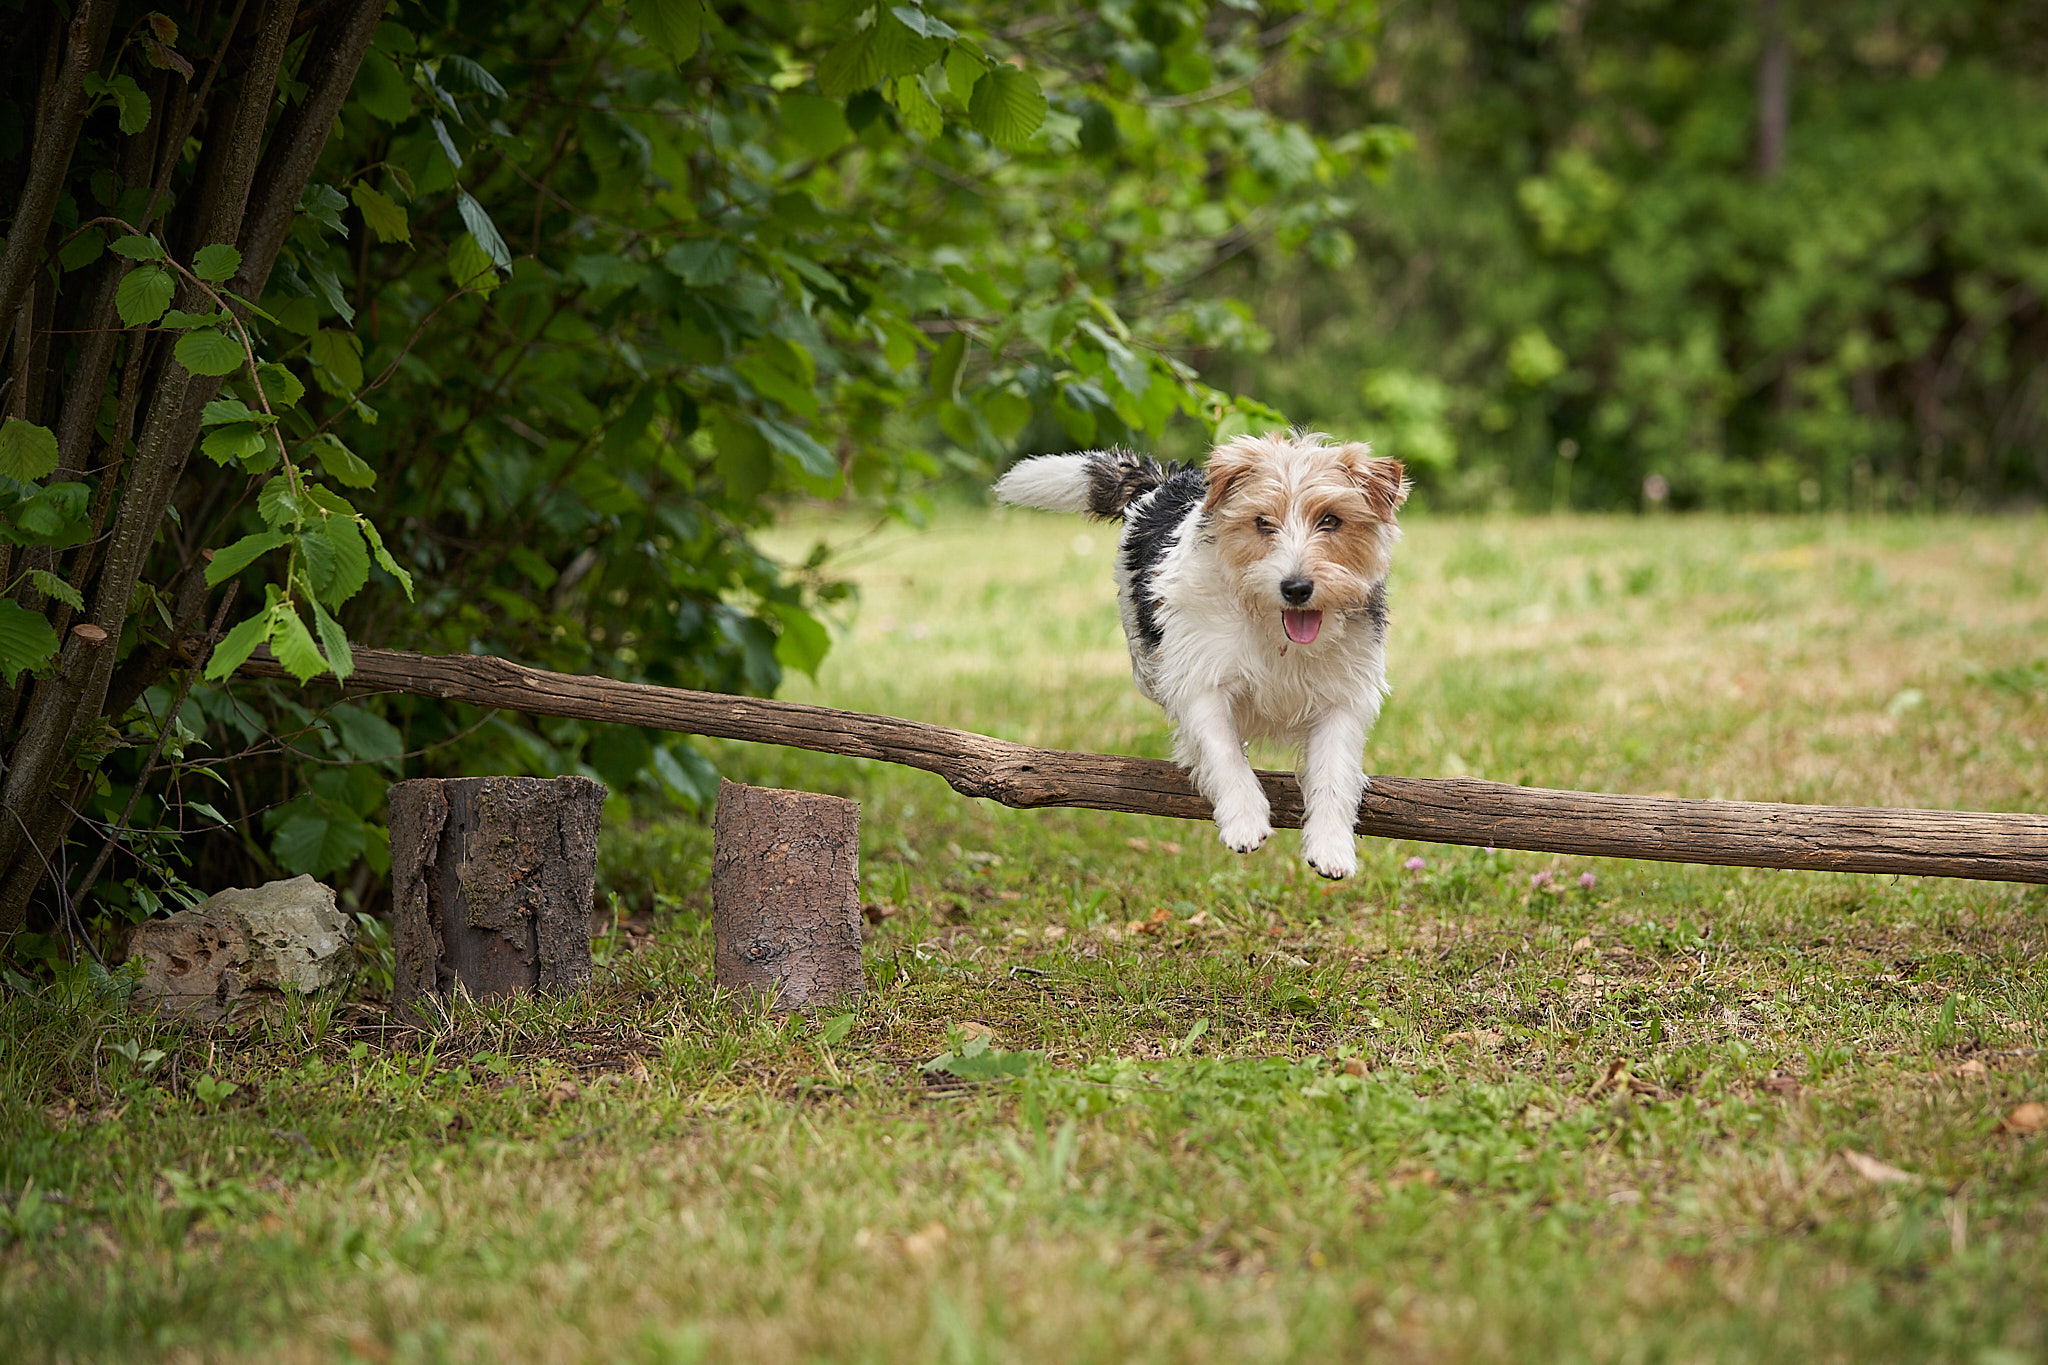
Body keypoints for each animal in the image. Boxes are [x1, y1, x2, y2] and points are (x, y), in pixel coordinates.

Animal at [991, 431, 1409, 879]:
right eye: (1262, 522)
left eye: (1331, 520)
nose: (1296, 588)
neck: (1272, 627)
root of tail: (1167, 481)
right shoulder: (1200, 678)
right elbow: (1222, 750)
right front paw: (1244, 818)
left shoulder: (1343, 696)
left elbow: (1334, 771)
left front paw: (1332, 845)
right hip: (1147, 659)